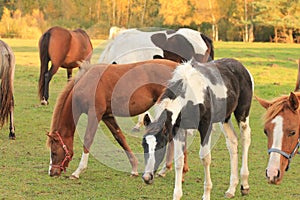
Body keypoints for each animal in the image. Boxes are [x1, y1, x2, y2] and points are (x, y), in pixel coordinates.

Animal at [47, 58, 191, 177]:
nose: (52, 172)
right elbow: (120, 137)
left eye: (54, 152)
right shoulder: (107, 116)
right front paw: (134, 168)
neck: (87, 83)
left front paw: (78, 171)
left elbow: (88, 139)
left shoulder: (95, 114)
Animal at [142, 57, 254, 199]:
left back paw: (244, 185)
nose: (147, 177)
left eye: (160, 145)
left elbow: (205, 158)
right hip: (225, 117)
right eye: (143, 145)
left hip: (242, 113)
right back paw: (231, 189)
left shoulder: (206, 126)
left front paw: (206, 194)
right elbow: (179, 159)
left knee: (245, 138)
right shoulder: (178, 129)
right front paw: (177, 195)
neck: (189, 95)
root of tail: (242, 67)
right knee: (232, 142)